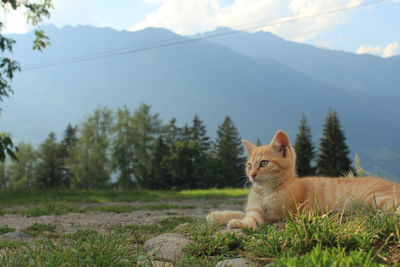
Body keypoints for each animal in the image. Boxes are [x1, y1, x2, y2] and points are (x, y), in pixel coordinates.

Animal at [208, 131, 398, 229]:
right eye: (248, 165)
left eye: (263, 163)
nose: (252, 175)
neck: (266, 191)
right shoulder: (255, 207)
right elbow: (242, 212)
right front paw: (217, 215)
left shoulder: (277, 215)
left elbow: (251, 219)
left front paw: (240, 224)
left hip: (377, 198)